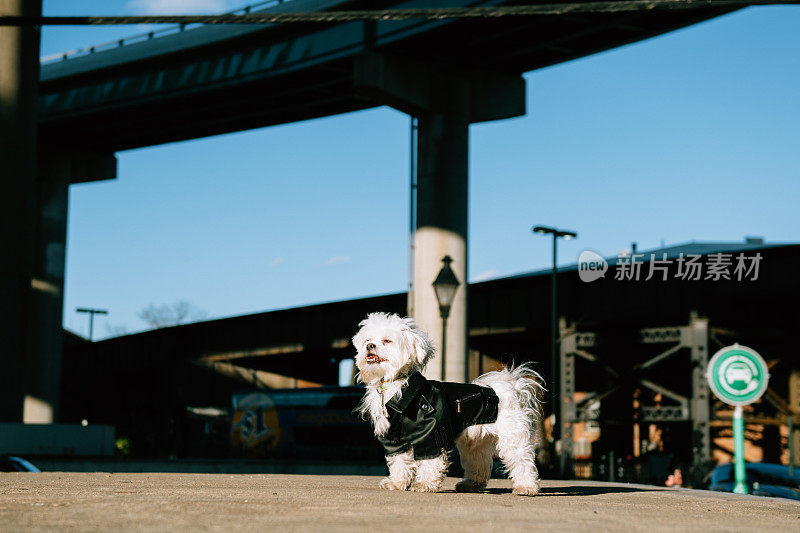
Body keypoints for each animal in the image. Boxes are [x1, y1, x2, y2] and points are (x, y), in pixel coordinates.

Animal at [354, 312, 548, 494]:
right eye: (368, 340)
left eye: (387, 341)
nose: (369, 346)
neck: (396, 385)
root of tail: (512, 386)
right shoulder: (393, 439)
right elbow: (399, 461)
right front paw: (396, 482)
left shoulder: (432, 435)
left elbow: (430, 461)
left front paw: (424, 483)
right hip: (475, 442)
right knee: (479, 463)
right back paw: (470, 484)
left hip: (512, 435)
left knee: (522, 460)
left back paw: (526, 487)